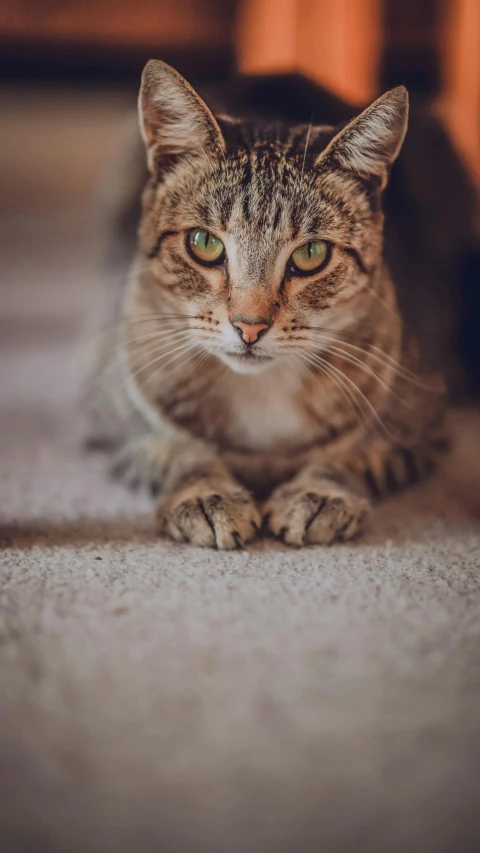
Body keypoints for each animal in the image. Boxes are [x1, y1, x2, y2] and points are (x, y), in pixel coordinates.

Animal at [85, 61, 458, 552]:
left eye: (311, 254)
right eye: (204, 243)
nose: (249, 326)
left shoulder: (420, 431)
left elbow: (354, 455)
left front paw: (318, 492)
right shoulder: (114, 426)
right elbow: (174, 451)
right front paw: (206, 493)